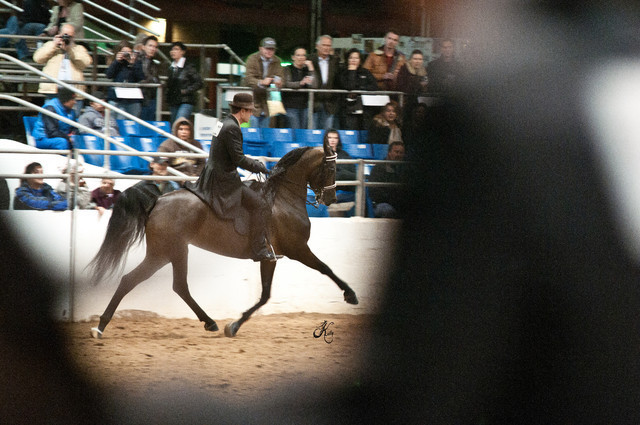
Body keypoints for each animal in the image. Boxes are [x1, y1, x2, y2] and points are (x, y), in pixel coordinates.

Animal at [88, 139, 359, 339]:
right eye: (332, 168)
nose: (332, 199)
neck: (283, 199)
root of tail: (158, 200)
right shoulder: (298, 249)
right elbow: (325, 268)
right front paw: (350, 295)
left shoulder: (269, 258)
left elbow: (265, 295)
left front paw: (234, 326)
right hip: (166, 252)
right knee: (141, 282)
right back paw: (101, 327)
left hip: (170, 253)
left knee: (167, 285)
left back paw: (208, 323)